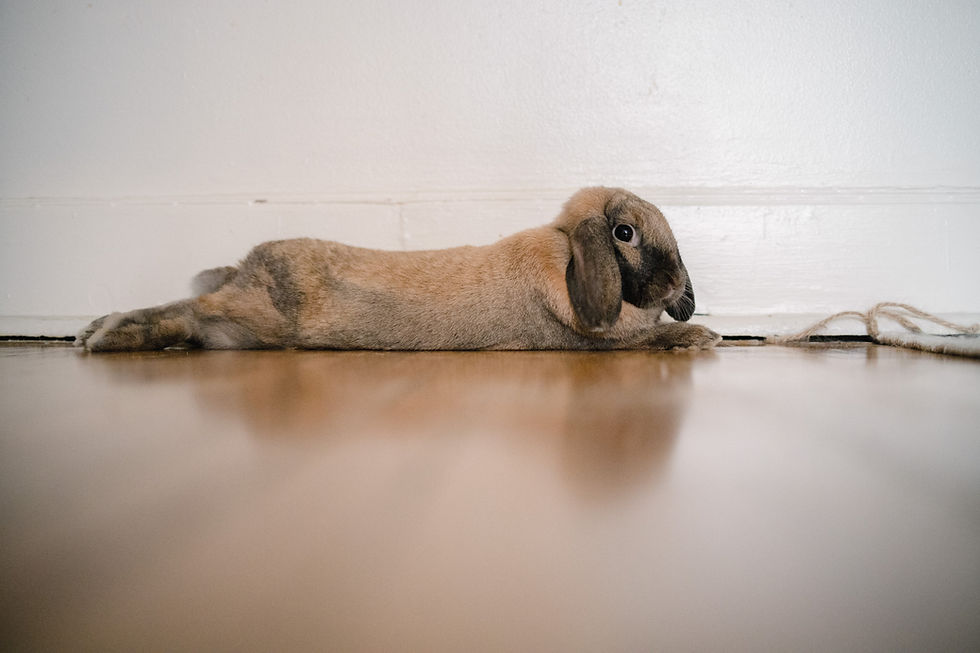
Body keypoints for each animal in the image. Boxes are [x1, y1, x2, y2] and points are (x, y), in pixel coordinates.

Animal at [75, 187, 721, 352]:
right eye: (623, 234)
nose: (674, 287)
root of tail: (245, 268)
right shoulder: (589, 342)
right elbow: (649, 339)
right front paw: (702, 335)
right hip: (257, 314)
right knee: (184, 311)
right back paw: (104, 335)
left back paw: (94, 327)